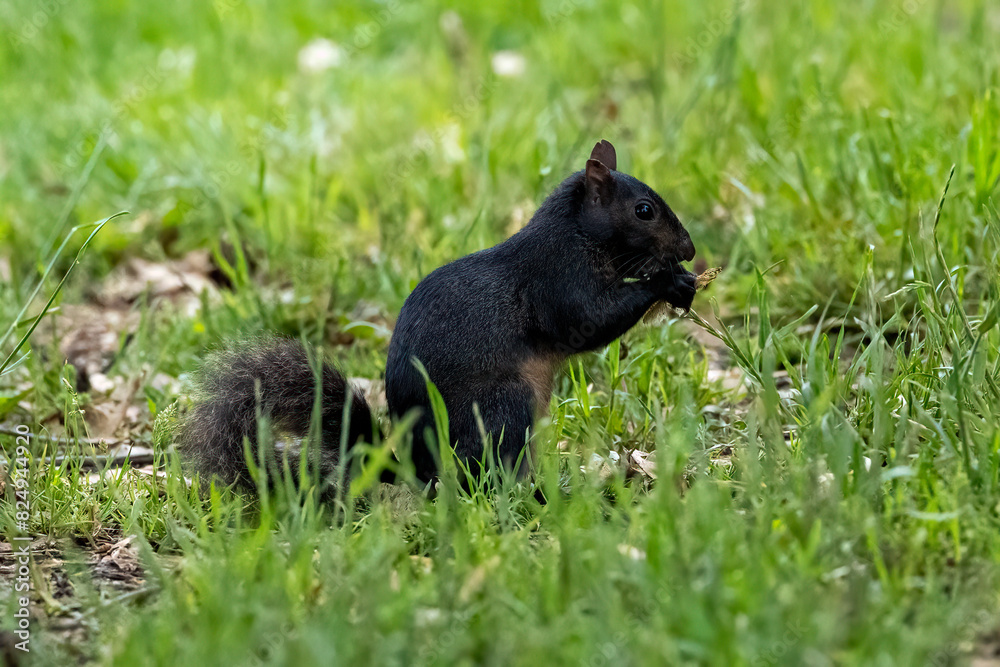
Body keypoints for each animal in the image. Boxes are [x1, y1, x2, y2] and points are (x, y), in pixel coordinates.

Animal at [178, 141, 696, 494]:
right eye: (644, 211)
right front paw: (666, 282)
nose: (689, 249)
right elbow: (590, 319)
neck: (578, 233)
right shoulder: (558, 278)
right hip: (504, 405)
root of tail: (415, 467)